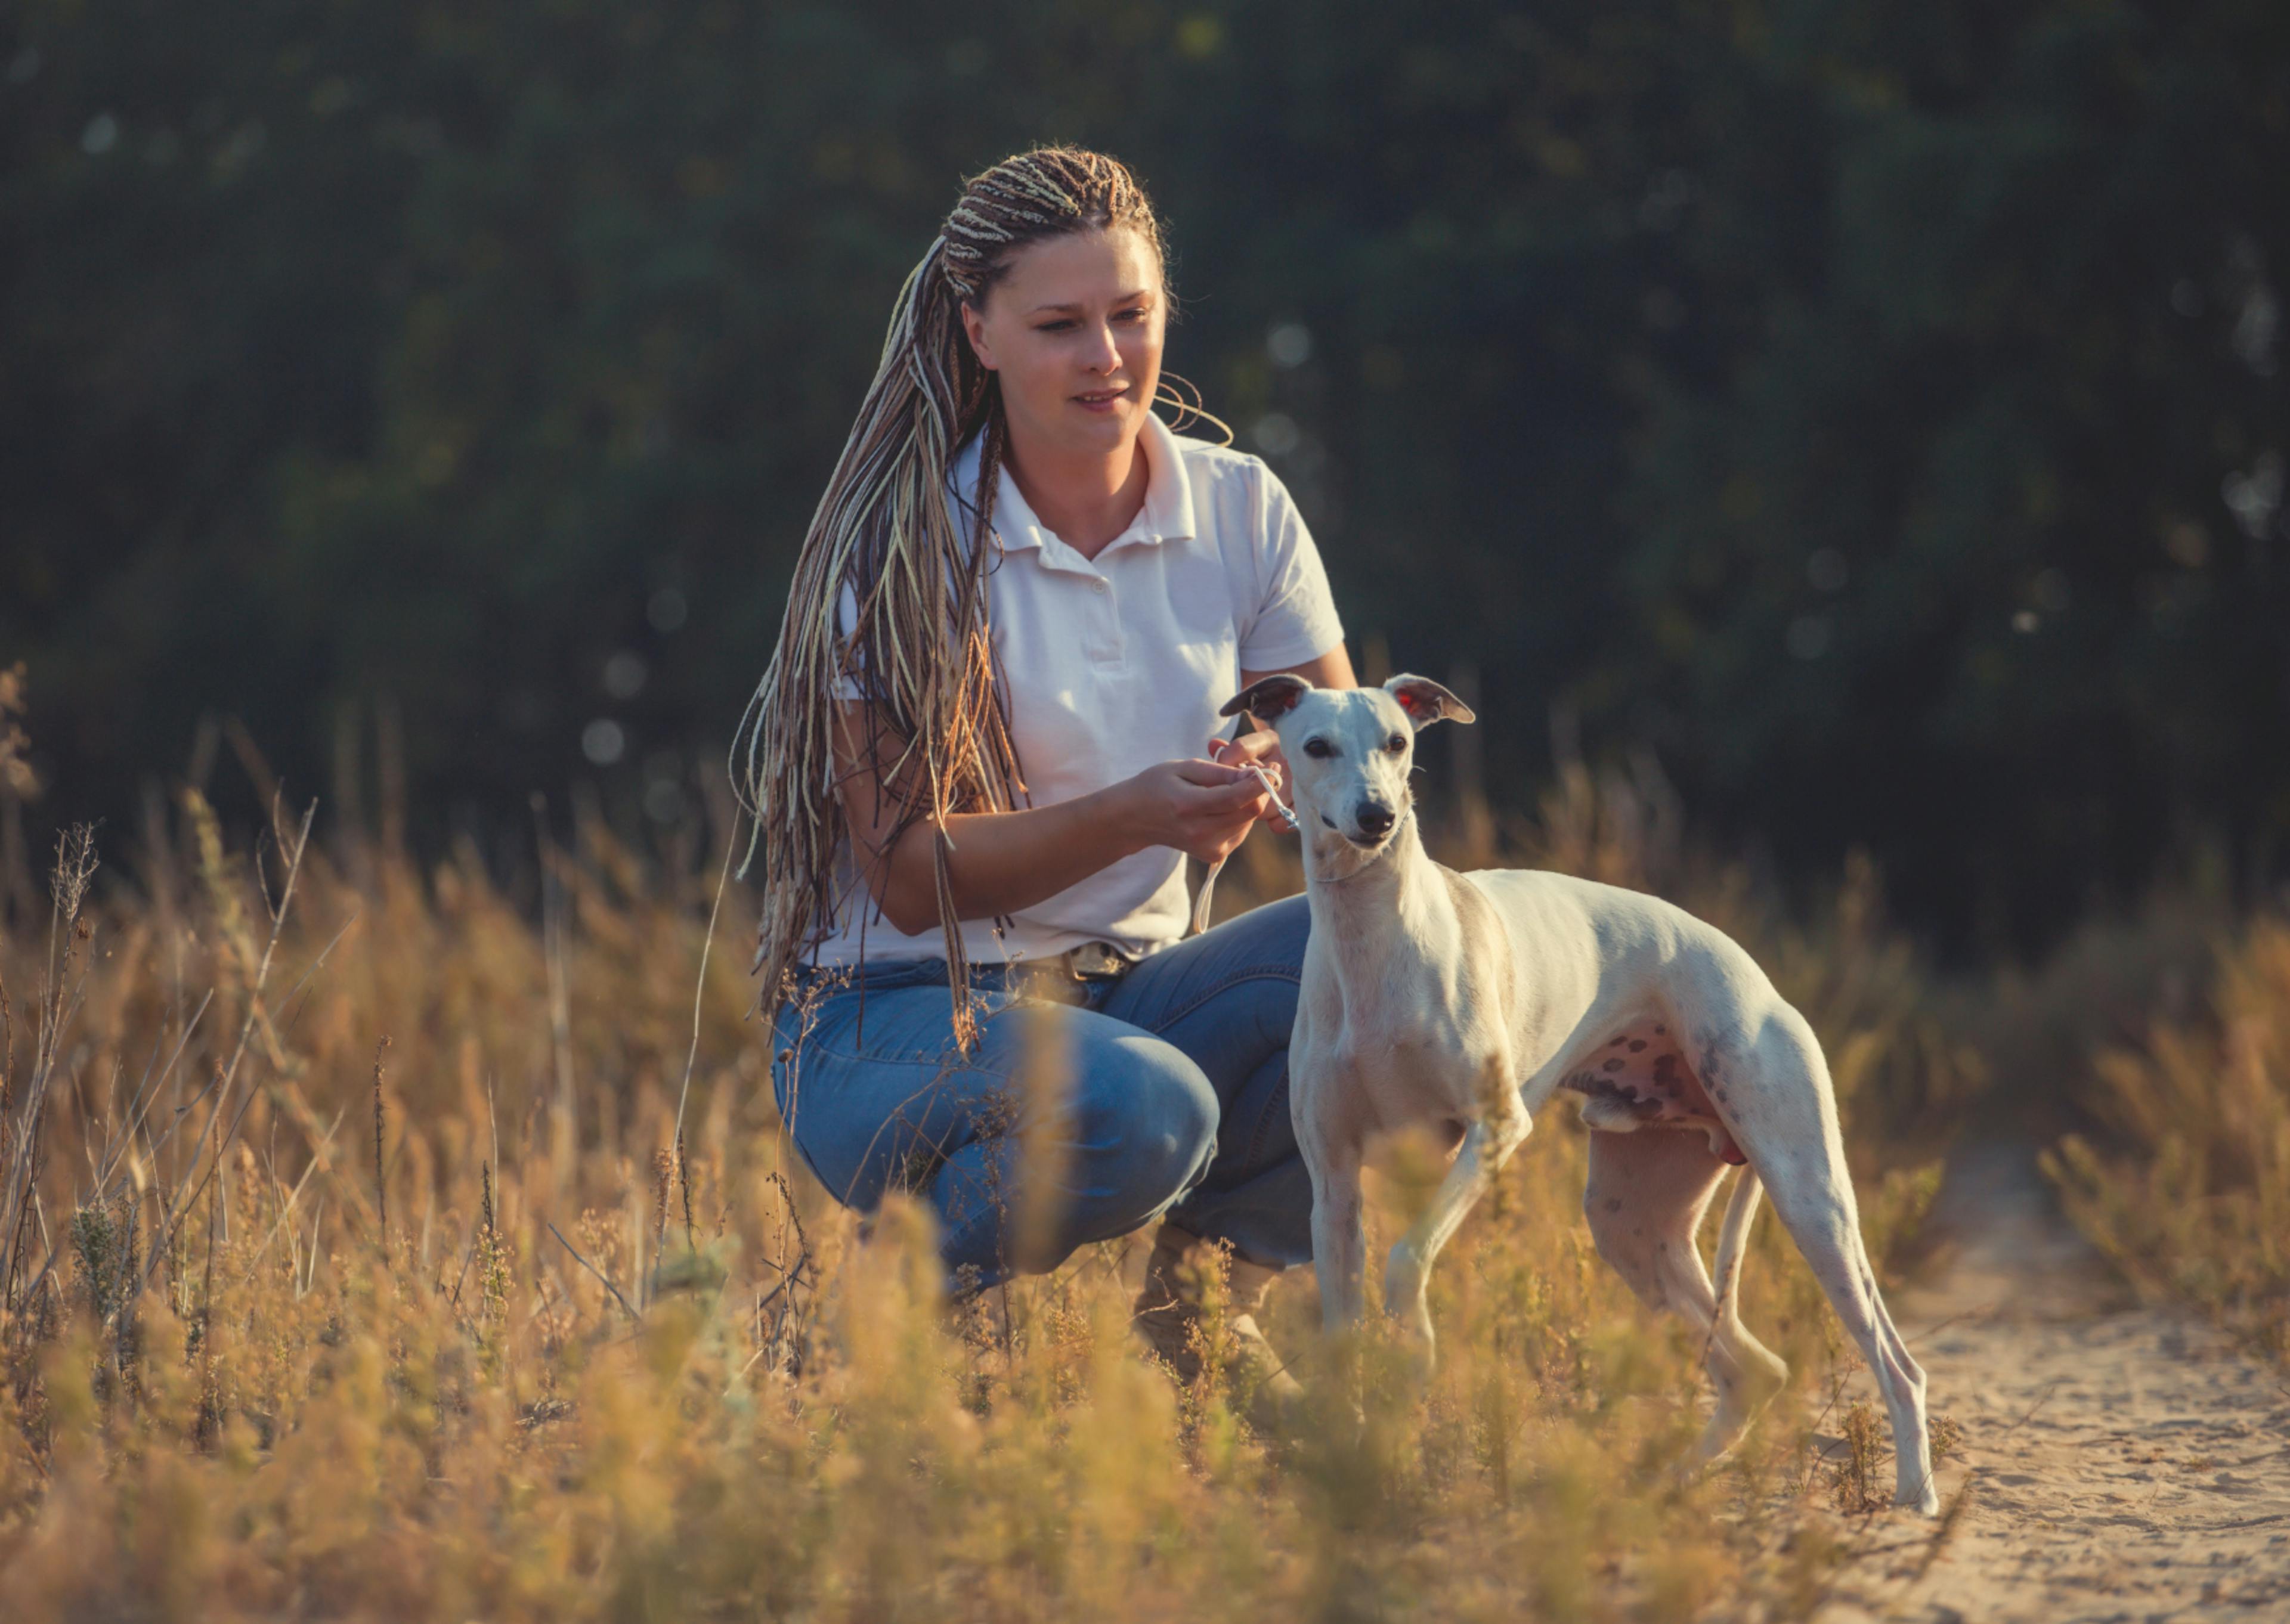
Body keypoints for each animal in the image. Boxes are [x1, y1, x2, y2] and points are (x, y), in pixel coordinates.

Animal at [1227, 668, 1942, 1511]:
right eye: (1316, 746)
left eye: (1397, 743)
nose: (1377, 817)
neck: (1375, 939)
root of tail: (1752, 971)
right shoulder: (1334, 1189)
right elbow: (1344, 1337)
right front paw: (1358, 1467)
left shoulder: (1495, 1131)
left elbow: (1407, 1258)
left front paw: (1419, 1351)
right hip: (1632, 1224)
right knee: (1755, 1371)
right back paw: (1671, 1486)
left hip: (1809, 1195)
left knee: (1896, 1363)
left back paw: (1915, 1497)